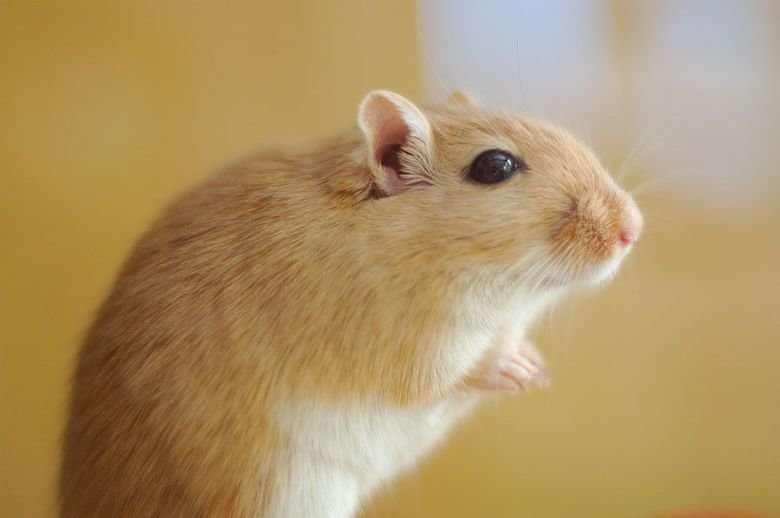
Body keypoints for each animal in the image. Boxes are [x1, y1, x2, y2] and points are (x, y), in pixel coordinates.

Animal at [59, 90, 643, 517]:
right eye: (494, 166)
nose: (633, 229)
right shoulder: (411, 349)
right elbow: (453, 373)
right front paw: (518, 369)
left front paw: (535, 365)